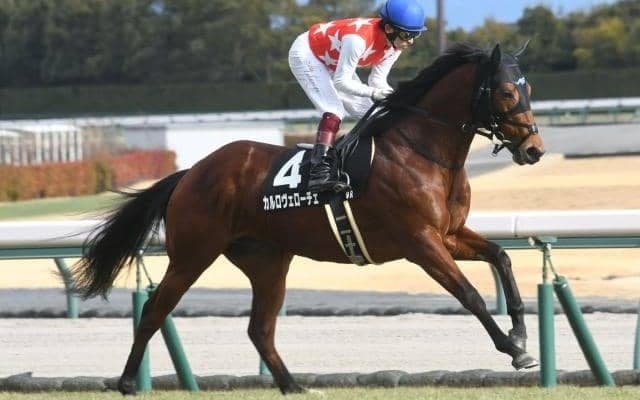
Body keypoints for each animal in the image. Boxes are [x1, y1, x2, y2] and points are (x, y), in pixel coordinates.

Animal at [71, 42, 545, 395]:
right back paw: (127, 382)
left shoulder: (449, 233)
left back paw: (293, 386)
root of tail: (191, 172)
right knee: (155, 310)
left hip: (267, 260)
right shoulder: (420, 241)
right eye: (506, 92)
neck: (421, 151)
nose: (534, 150)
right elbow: (470, 294)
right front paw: (513, 349)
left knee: (260, 328)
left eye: (529, 90)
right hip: (192, 253)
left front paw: (521, 332)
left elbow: (501, 257)